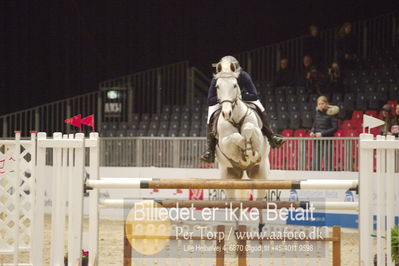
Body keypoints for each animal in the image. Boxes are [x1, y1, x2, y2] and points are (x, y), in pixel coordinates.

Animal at [212, 60, 272, 229]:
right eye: (217, 86)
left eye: (234, 85)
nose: (226, 113)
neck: (236, 118)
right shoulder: (224, 144)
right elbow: (235, 137)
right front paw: (244, 154)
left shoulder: (258, 135)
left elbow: (249, 128)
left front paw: (250, 152)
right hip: (229, 178)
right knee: (235, 204)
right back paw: (238, 228)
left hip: (261, 175)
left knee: (259, 200)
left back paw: (261, 225)